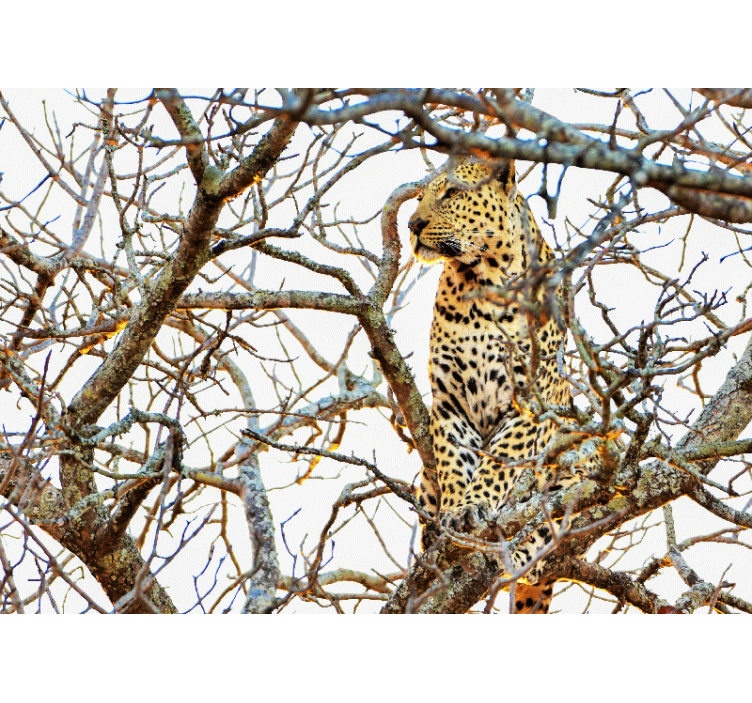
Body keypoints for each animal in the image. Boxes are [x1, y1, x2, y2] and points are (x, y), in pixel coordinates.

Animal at [408, 158, 589, 613]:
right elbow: (455, 460)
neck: (480, 281)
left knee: (544, 536)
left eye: (452, 193)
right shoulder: (450, 402)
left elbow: (498, 461)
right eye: (420, 196)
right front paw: (457, 510)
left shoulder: (531, 403)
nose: (412, 224)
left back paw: (514, 553)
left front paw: (474, 504)